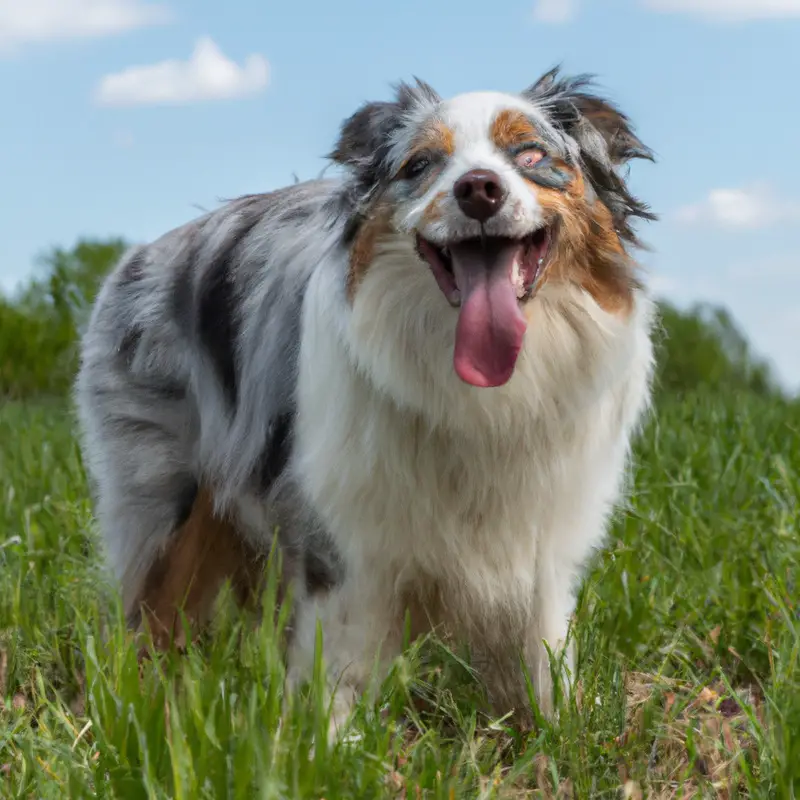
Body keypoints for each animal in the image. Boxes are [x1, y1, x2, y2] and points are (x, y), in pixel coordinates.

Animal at [75, 67, 656, 736]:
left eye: (532, 156)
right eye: (421, 165)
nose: (478, 190)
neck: (486, 390)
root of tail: (138, 258)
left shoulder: (541, 534)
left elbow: (541, 652)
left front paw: (558, 733)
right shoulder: (345, 534)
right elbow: (341, 662)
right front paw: (330, 744)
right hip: (162, 499)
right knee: (148, 613)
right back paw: (128, 706)